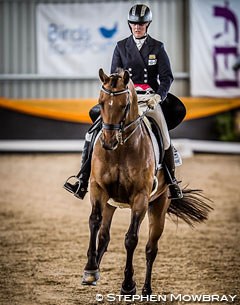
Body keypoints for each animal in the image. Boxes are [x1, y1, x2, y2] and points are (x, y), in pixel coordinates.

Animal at [81, 68, 212, 294]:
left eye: (124, 105)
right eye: (101, 102)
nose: (108, 142)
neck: (121, 150)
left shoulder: (140, 198)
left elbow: (131, 239)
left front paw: (128, 284)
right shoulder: (99, 189)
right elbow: (94, 222)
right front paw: (90, 270)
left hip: (159, 205)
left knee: (151, 248)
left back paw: (146, 290)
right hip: (111, 203)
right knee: (104, 237)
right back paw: (97, 267)